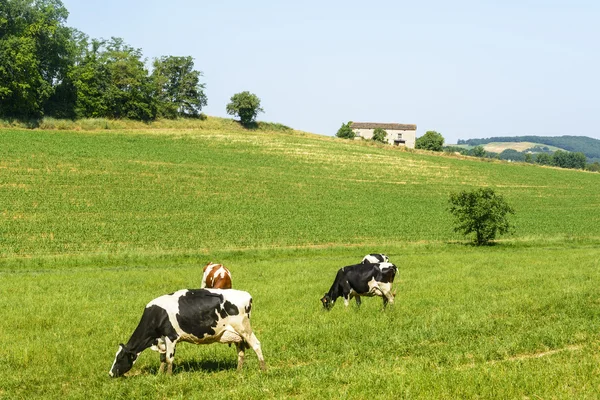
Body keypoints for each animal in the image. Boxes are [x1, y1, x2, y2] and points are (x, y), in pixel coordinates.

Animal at [108, 288, 268, 378]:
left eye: (120, 358)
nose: (110, 374)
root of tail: (246, 295)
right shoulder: (162, 340)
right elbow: (162, 358)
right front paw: (160, 374)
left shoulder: (171, 337)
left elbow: (169, 358)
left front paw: (168, 376)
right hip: (237, 335)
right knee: (241, 352)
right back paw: (238, 372)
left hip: (244, 329)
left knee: (256, 345)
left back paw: (263, 370)